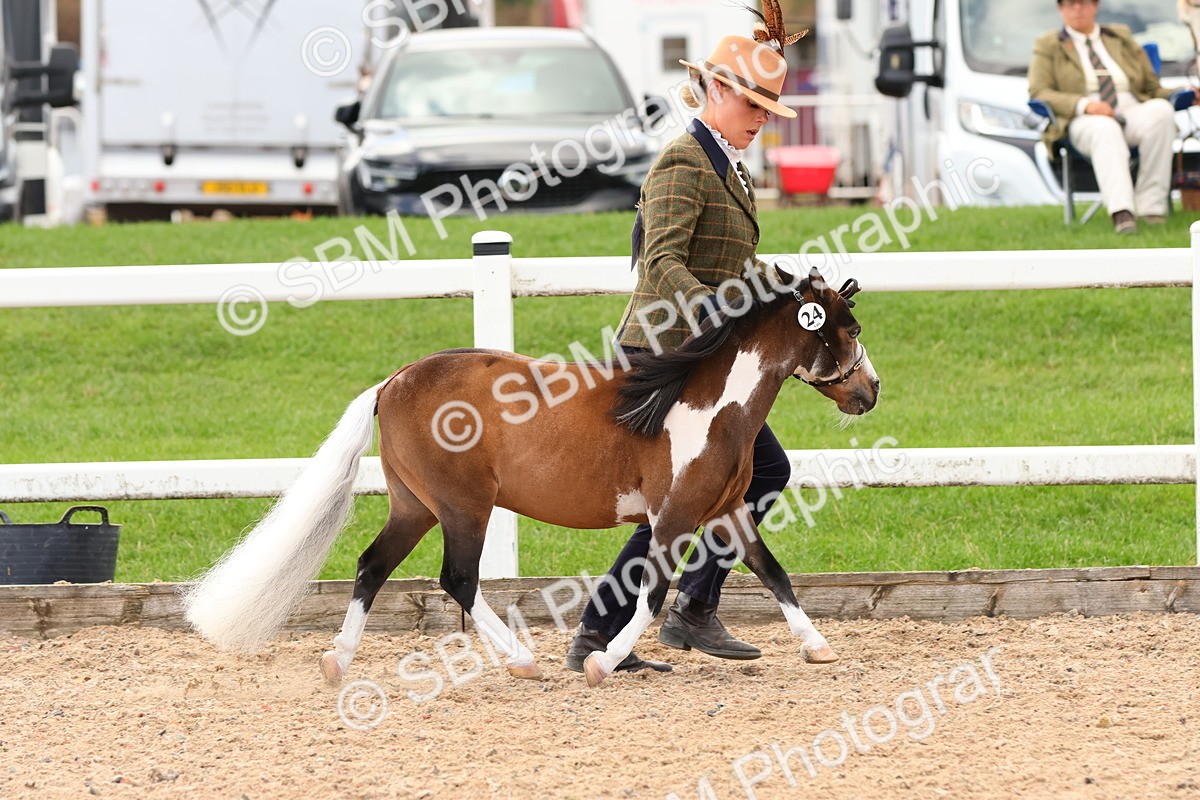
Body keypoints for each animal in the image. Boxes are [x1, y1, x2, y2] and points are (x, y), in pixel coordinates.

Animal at [183, 265, 879, 688]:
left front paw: (818, 645)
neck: (705, 406)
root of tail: (393, 381)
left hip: (415, 505)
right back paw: (521, 660)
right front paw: (601, 663)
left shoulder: (727, 510)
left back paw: (338, 659)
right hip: (464, 506)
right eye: (850, 330)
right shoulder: (674, 518)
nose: (870, 391)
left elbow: (772, 571)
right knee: (457, 579)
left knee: (371, 565)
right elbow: (652, 594)